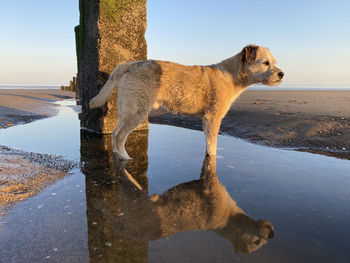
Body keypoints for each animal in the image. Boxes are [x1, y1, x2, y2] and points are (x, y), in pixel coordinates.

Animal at [90, 44, 284, 160]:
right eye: (265, 63)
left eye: (273, 62)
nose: (282, 74)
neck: (232, 75)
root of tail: (130, 64)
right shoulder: (213, 118)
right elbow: (212, 145)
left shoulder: (206, 120)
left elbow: (208, 144)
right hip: (137, 111)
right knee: (119, 135)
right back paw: (125, 159)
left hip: (127, 109)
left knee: (114, 133)